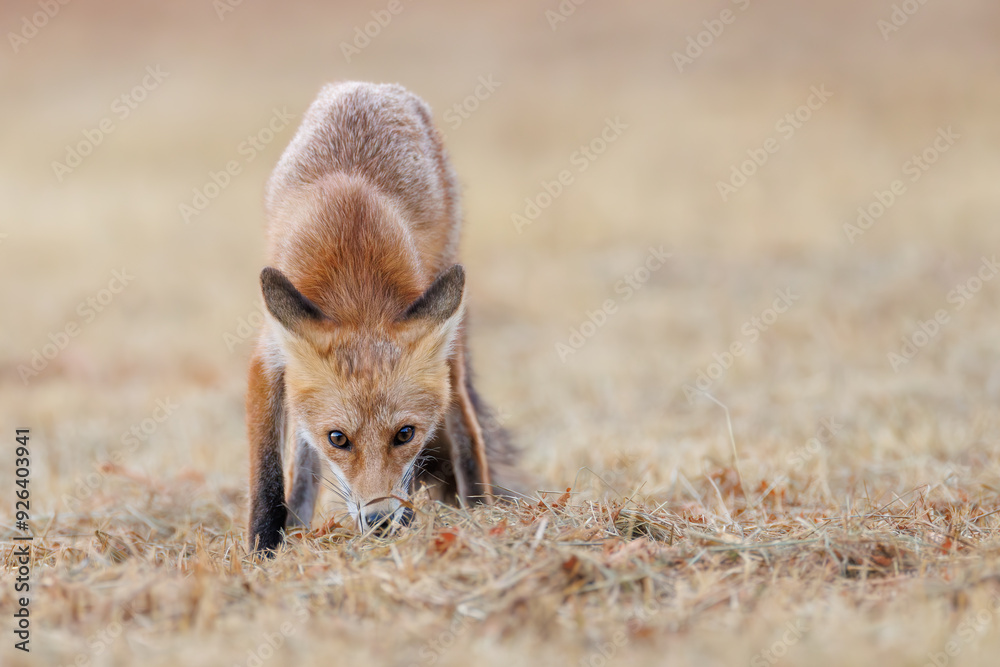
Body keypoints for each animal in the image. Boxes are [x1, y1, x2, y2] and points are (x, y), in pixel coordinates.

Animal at [247, 81, 519, 553]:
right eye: (338, 439)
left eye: (405, 434)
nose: (380, 522)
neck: (355, 285)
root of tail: (368, 87)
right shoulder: (267, 360)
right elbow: (268, 477)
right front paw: (264, 550)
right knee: (303, 459)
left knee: (466, 429)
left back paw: (479, 511)